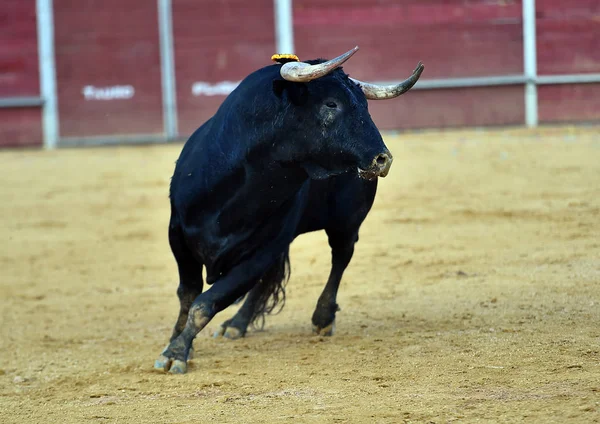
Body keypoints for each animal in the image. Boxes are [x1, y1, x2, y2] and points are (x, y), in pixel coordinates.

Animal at [155, 46, 426, 372]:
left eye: (364, 105)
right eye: (331, 103)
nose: (382, 159)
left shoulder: (261, 251)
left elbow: (205, 303)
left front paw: (176, 352)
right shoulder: (178, 235)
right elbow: (188, 295)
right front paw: (175, 342)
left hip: (346, 222)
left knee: (341, 257)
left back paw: (322, 318)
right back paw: (237, 324)